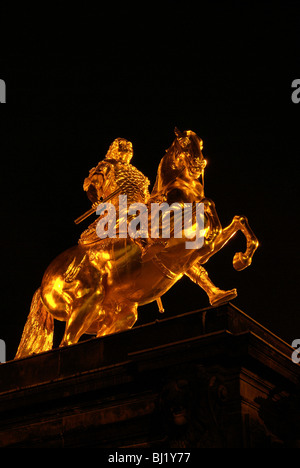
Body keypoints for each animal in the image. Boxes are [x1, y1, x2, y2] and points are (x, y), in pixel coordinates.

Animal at [15, 130, 258, 360]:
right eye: (185, 143)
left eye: (201, 143)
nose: (199, 164)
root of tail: (44, 283)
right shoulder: (173, 234)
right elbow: (208, 204)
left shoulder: (190, 254)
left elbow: (237, 222)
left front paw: (238, 264)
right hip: (85, 303)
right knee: (67, 342)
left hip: (117, 314)